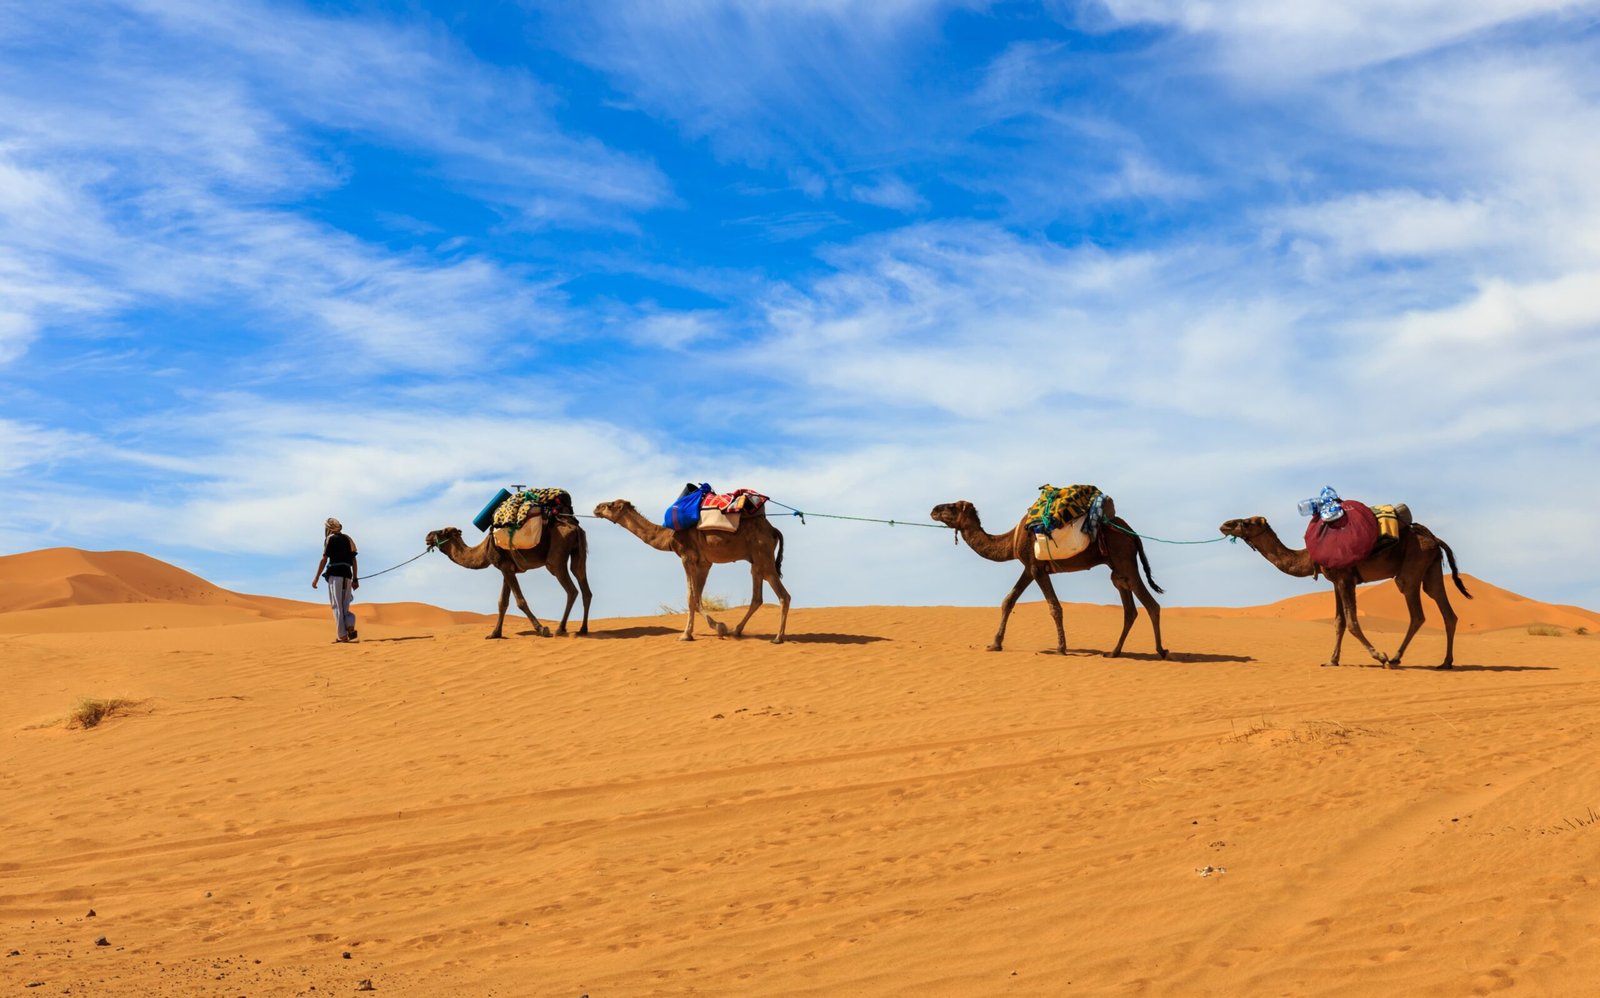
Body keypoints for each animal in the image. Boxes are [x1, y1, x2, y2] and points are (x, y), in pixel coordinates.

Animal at [424, 517, 592, 640]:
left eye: (442, 531)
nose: (428, 536)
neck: (484, 550)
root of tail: (575, 528)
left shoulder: (505, 567)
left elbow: (520, 601)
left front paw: (542, 629)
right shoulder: (507, 569)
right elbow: (502, 603)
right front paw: (494, 634)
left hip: (556, 557)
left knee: (572, 590)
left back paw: (560, 629)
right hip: (578, 553)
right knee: (585, 587)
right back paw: (583, 629)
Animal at [593, 499, 790, 643]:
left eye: (610, 505)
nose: (596, 508)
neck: (669, 536)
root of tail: (773, 530)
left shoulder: (687, 557)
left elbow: (690, 597)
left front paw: (686, 635)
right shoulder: (704, 563)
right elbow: (697, 598)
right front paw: (720, 627)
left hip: (763, 555)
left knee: (783, 595)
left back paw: (778, 638)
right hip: (756, 561)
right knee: (757, 597)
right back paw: (737, 631)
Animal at [929, 498, 1168, 658]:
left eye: (951, 506)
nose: (933, 510)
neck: (1012, 540)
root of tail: (1132, 534)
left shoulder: (1037, 569)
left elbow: (1054, 607)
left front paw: (1061, 648)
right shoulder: (1029, 567)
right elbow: (1008, 601)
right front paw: (995, 644)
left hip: (1124, 559)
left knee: (1151, 604)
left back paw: (1161, 651)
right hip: (1117, 568)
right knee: (1130, 609)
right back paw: (1114, 652)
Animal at [1218, 515, 1471, 669]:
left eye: (1247, 522)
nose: (1225, 525)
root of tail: (1435, 539)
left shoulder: (1345, 578)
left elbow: (1352, 622)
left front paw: (1379, 656)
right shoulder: (1335, 581)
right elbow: (1339, 621)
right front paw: (1332, 660)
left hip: (1411, 569)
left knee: (1417, 612)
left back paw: (1396, 658)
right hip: (1431, 568)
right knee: (1447, 611)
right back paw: (1446, 662)